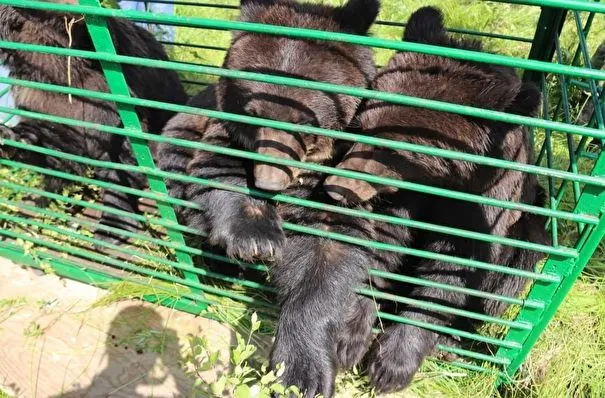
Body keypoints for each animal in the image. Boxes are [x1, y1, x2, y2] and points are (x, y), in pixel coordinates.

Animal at [324, 7, 548, 394]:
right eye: (361, 125)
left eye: (396, 150)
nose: (338, 187)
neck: (445, 183)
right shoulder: (406, 199)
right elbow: (384, 242)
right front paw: (350, 335)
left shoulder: (482, 208)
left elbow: (451, 270)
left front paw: (393, 364)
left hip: (528, 230)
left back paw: (451, 342)